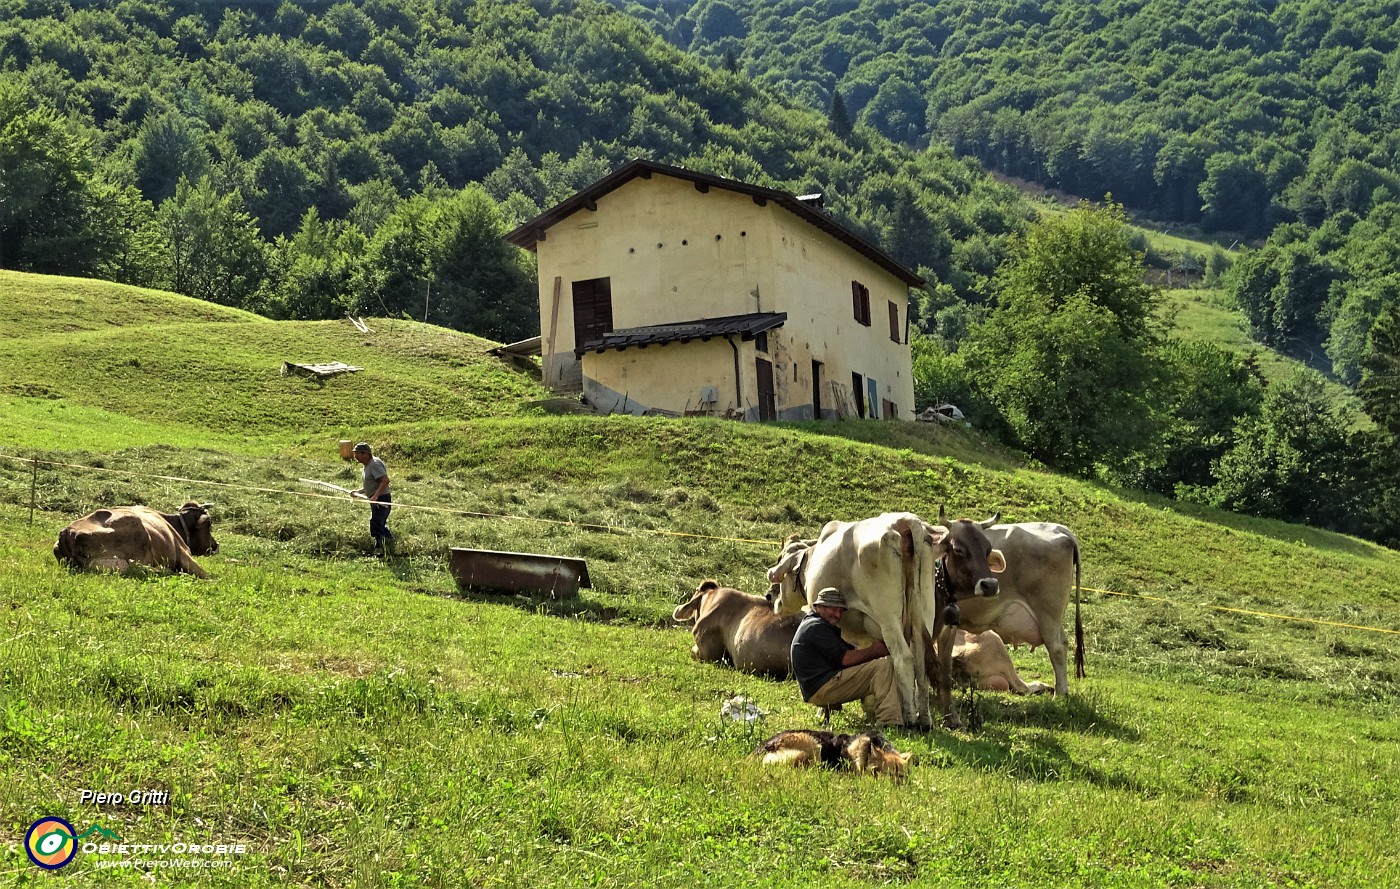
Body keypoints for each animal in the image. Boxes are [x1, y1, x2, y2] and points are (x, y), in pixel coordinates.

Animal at [767, 515, 1008, 728]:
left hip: (889, 618)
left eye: (781, 562)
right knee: (921, 662)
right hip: (922, 616)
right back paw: (924, 718)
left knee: (904, 658)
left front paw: (828, 709)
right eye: (959, 550)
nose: (770, 596)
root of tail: (906, 521)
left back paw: (910, 718)